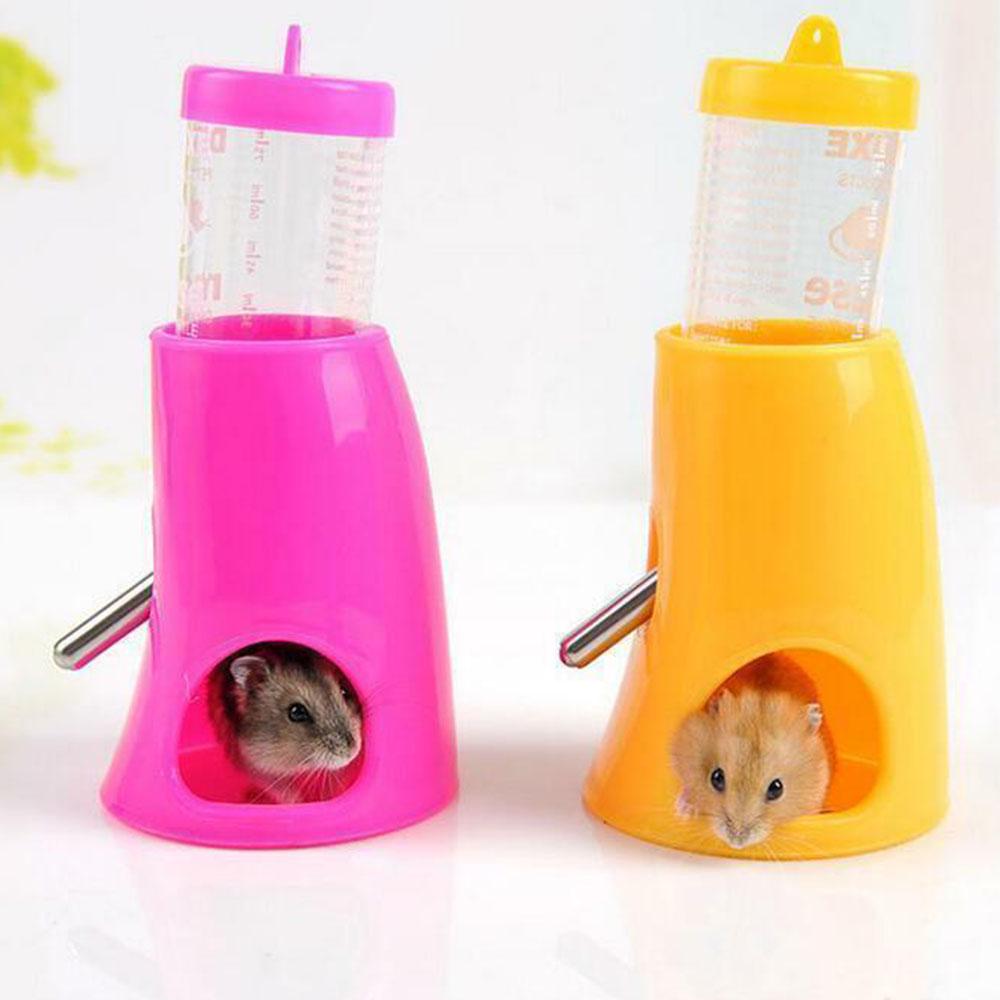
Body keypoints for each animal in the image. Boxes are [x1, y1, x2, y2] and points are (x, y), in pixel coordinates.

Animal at [208, 642, 362, 804]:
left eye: (344, 691)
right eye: (296, 712)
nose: (352, 752)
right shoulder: (248, 762)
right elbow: (276, 786)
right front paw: (296, 800)